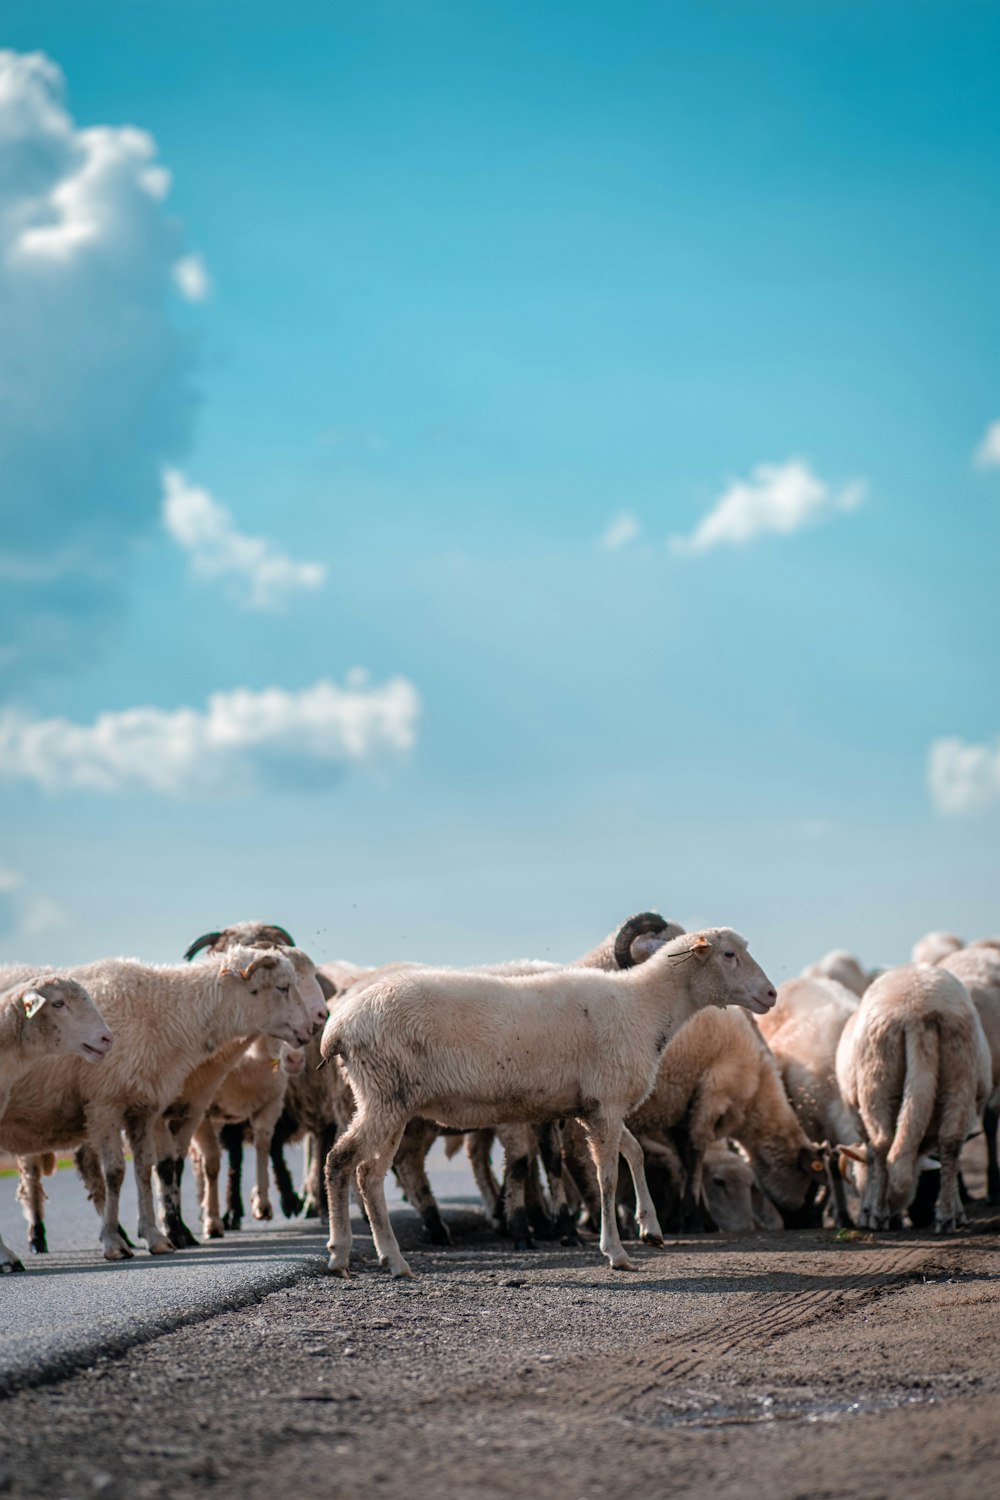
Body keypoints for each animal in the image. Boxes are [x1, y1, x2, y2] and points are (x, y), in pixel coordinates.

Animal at [320, 924, 773, 1278]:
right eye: (729, 955)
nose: (770, 994)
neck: (645, 1008)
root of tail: (338, 1026)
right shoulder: (607, 1102)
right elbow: (608, 1177)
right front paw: (616, 1252)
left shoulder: (594, 1106)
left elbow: (636, 1152)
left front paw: (651, 1229)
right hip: (385, 1095)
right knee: (341, 1161)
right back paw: (342, 1255)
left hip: (388, 1100)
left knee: (369, 1174)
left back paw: (392, 1260)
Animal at [833, 960, 989, 1230]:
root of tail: (918, 1010)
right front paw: (958, 1211)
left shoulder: (855, 1113)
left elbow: (872, 1158)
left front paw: (870, 1210)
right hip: (960, 1070)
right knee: (950, 1144)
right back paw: (946, 1217)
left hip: (877, 1076)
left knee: (882, 1144)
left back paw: (878, 1216)